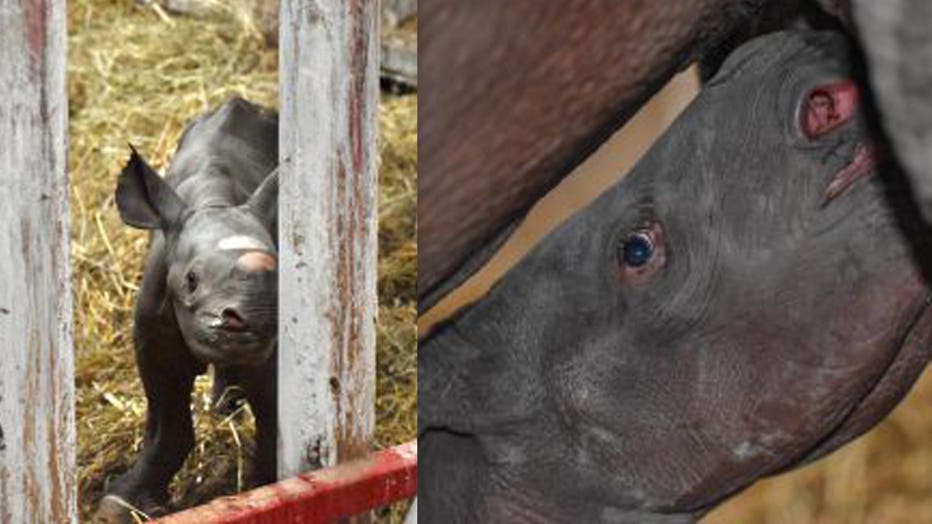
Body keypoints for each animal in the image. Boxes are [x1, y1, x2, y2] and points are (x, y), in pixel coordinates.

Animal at [99, 97, 280, 520]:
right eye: (191, 280)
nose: (253, 321)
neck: (217, 202)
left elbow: (270, 411)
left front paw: (267, 487)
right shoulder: (154, 333)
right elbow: (170, 424)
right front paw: (120, 504)